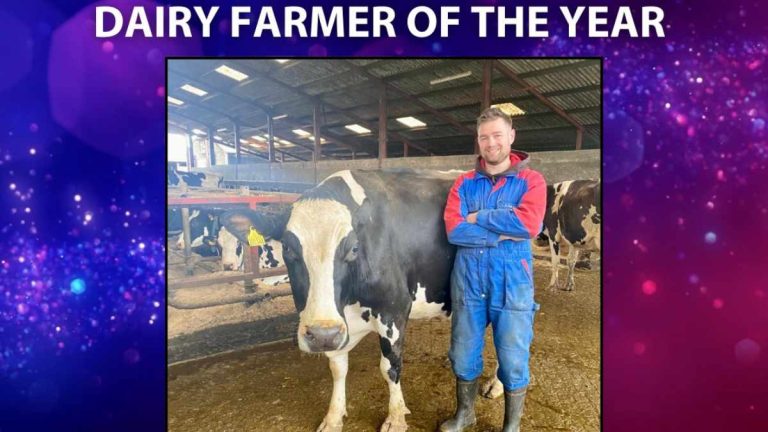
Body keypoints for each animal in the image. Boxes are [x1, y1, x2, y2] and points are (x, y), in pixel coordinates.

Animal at [219, 169, 504, 432]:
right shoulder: (338, 325)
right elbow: (337, 366)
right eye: (288, 248)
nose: (321, 335)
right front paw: (333, 417)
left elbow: (390, 366)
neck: (350, 301)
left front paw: (396, 418)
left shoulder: (394, 310)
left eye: (354, 248)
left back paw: (495, 385)